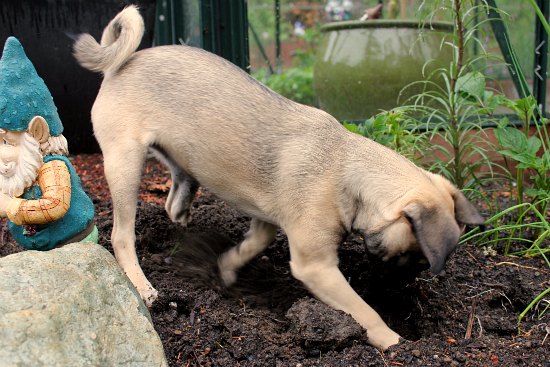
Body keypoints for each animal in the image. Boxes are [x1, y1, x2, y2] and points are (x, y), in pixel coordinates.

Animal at [74, 6, 488, 350]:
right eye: (411, 257)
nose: (404, 285)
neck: (344, 167)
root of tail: (122, 64)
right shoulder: (317, 267)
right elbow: (363, 310)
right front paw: (391, 339)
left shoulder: (265, 222)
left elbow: (252, 245)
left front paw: (226, 269)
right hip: (126, 164)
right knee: (122, 235)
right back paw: (142, 285)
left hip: (178, 161)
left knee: (176, 195)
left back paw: (181, 224)